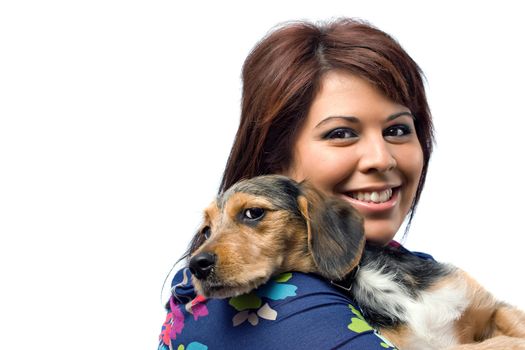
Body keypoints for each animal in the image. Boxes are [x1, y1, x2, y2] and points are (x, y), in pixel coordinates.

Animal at [186, 175, 524, 350]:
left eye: (253, 213)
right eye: (207, 230)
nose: (196, 266)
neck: (363, 274)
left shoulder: (493, 307)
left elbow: (510, 330)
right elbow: (499, 345)